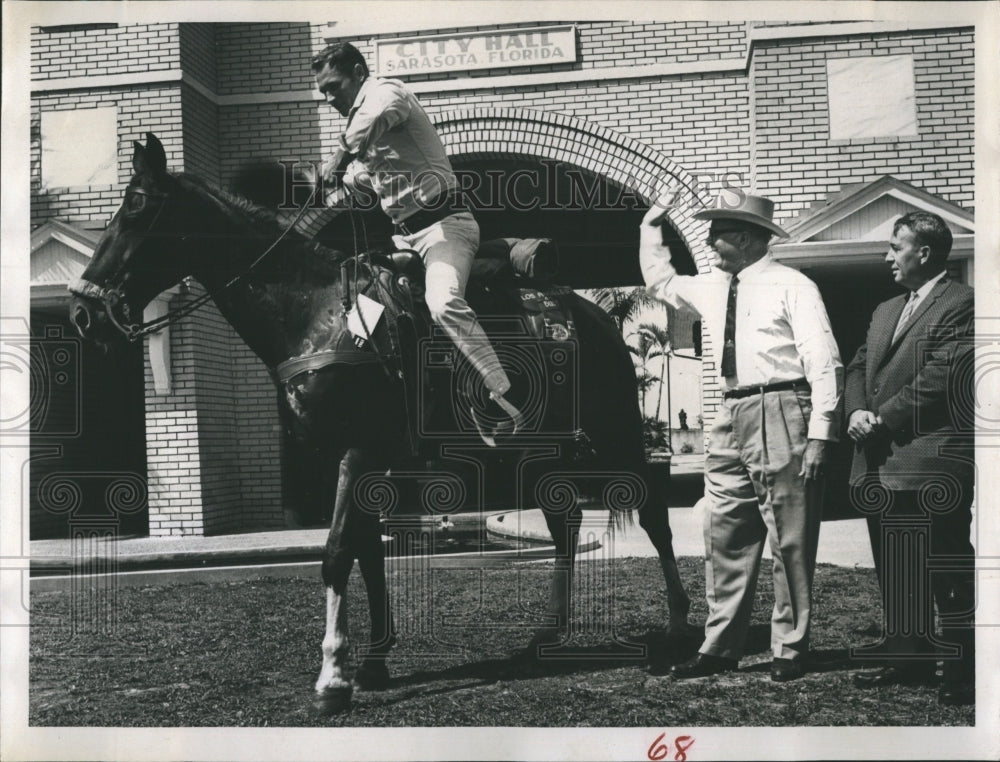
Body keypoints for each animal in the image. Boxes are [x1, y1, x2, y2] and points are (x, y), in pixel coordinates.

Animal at [70, 132, 692, 712]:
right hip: (542, 454)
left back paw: (680, 631)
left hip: (617, 435)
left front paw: (332, 676)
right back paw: (549, 634)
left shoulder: (358, 452)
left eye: (136, 207)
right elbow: (367, 551)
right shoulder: (345, 461)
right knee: (564, 523)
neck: (316, 312)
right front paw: (373, 660)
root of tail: (595, 317)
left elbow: (337, 552)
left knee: (653, 516)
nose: (83, 311)